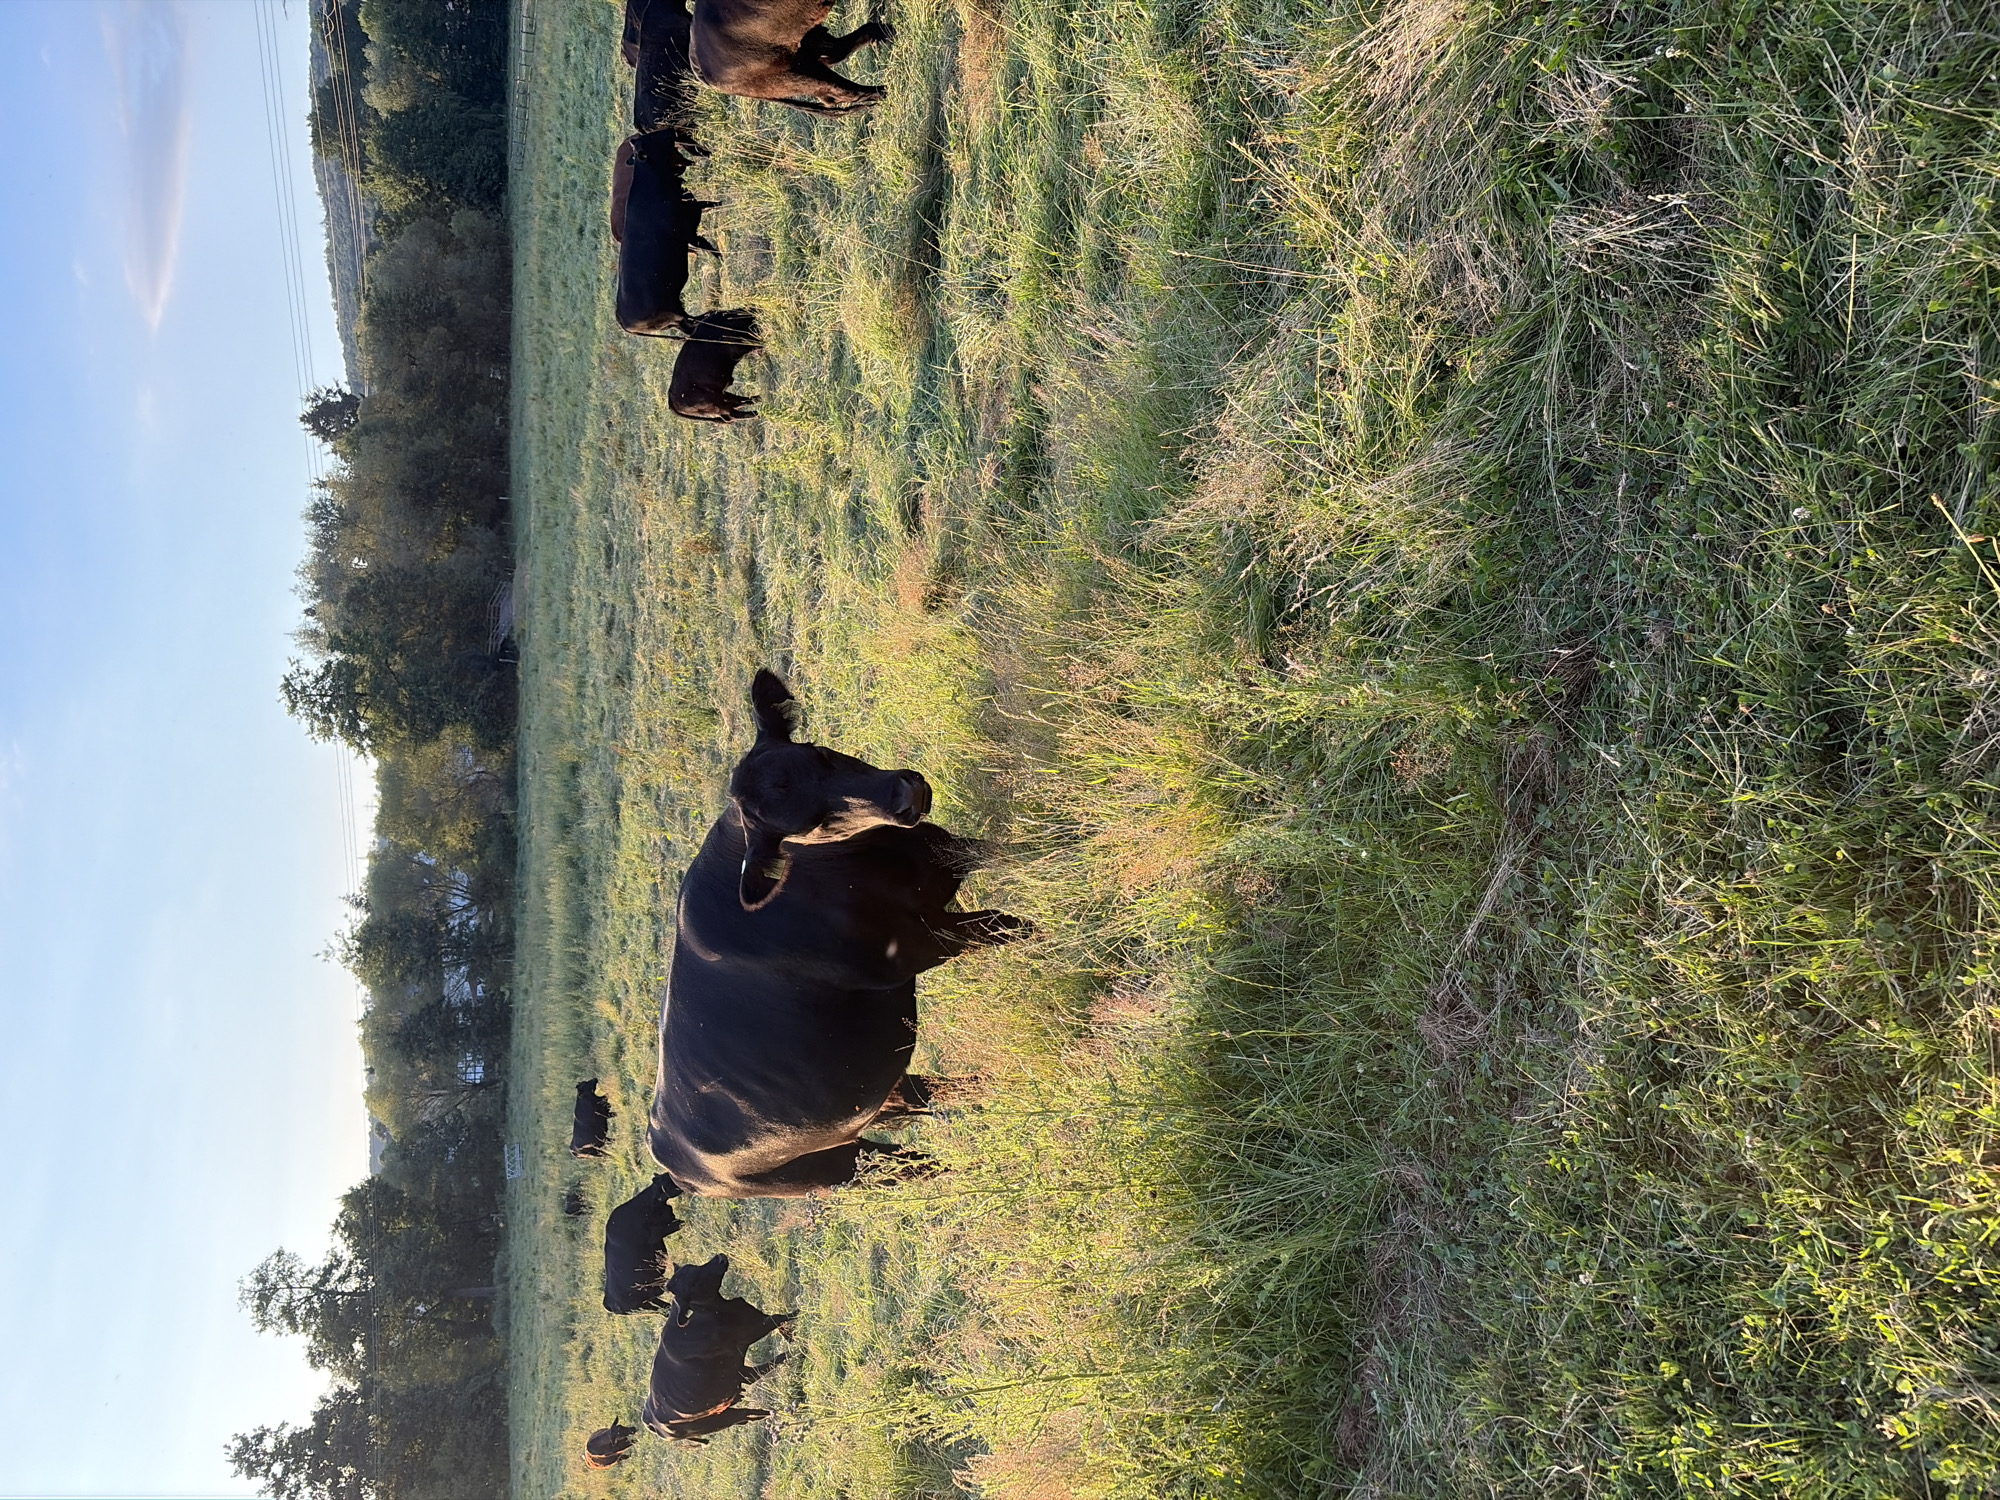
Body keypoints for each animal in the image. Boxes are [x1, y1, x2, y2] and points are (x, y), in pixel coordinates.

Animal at [614, 132, 717, 335]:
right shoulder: (687, 231)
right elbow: (708, 245)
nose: (669, 131)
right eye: (652, 141)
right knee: (690, 324)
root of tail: (621, 318)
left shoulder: (693, 212)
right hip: (673, 313)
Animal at [641, 1254, 793, 1443]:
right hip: (718, 1418)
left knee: (752, 1378)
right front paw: (800, 1315)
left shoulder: (754, 1316)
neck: (717, 1309)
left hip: (731, 1376)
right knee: (746, 1410)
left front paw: (793, 1337)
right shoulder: (745, 1335)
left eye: (693, 1267)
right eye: (693, 1283)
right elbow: (777, 1319)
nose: (719, 1258)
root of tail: (649, 1420)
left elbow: (778, 1321)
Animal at [648, 669, 1027, 1197]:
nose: (905, 796)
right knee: (906, 1167)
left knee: (914, 1095)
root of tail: (669, 1156)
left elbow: (1013, 849)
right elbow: (1009, 925)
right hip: (832, 1169)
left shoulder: (946, 851)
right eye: (812, 824)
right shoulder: (920, 945)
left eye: (820, 754)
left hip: (866, 1102)